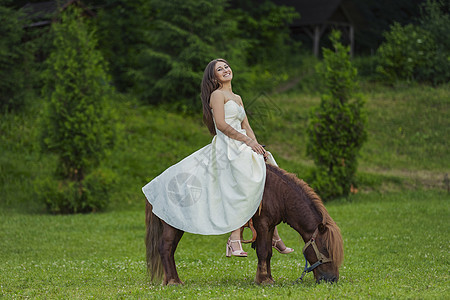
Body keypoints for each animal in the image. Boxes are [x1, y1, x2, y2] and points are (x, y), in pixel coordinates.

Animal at [146, 164, 342, 284]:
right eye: (325, 249)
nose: (332, 279)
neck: (278, 193)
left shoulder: (270, 226)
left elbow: (268, 252)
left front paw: (266, 277)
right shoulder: (262, 224)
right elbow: (263, 251)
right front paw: (264, 280)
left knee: (169, 250)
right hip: (172, 226)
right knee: (166, 248)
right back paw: (174, 282)